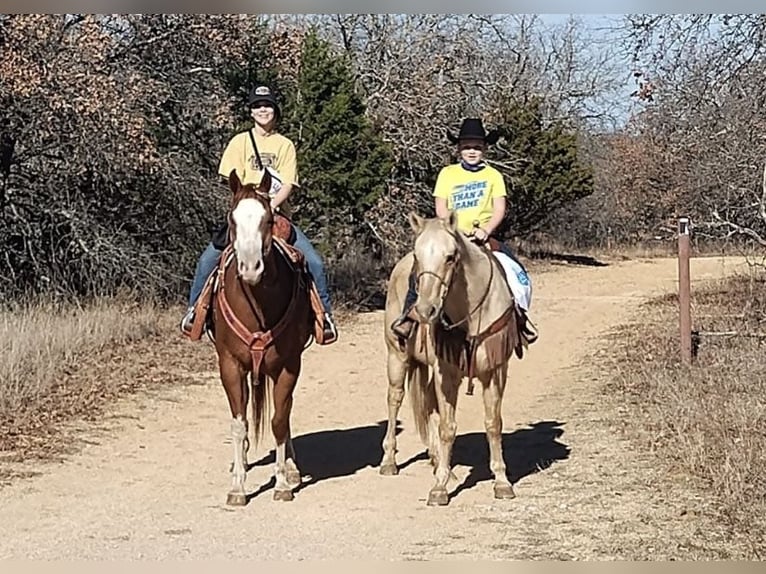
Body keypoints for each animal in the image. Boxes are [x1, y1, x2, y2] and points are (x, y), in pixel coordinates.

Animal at [209, 168, 314, 506]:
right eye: (232, 220)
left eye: (267, 220)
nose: (251, 268)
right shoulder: (230, 365)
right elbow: (239, 424)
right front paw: (237, 487)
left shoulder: (288, 365)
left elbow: (279, 421)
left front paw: (281, 483)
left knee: (286, 412)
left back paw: (292, 468)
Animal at [380, 211, 535, 506]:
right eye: (418, 255)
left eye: (451, 256)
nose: (425, 310)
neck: (472, 314)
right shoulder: (447, 373)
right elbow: (447, 426)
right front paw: (439, 487)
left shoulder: (495, 371)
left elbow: (493, 424)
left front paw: (501, 481)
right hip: (396, 357)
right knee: (394, 400)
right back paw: (390, 461)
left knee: (427, 402)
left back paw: (438, 461)